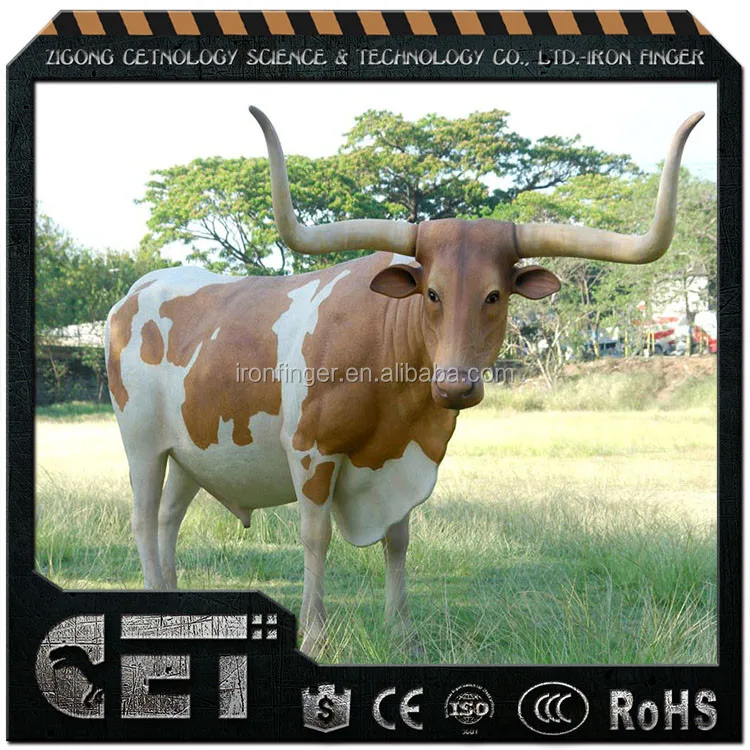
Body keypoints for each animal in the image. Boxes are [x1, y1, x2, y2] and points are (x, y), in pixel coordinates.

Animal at [106, 108, 703, 657]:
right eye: (432, 293)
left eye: (495, 294)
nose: (456, 386)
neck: (395, 401)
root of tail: (138, 289)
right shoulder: (311, 452)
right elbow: (316, 538)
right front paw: (317, 636)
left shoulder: (404, 459)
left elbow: (398, 540)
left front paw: (403, 633)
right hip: (141, 444)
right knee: (142, 520)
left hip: (190, 452)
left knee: (168, 519)